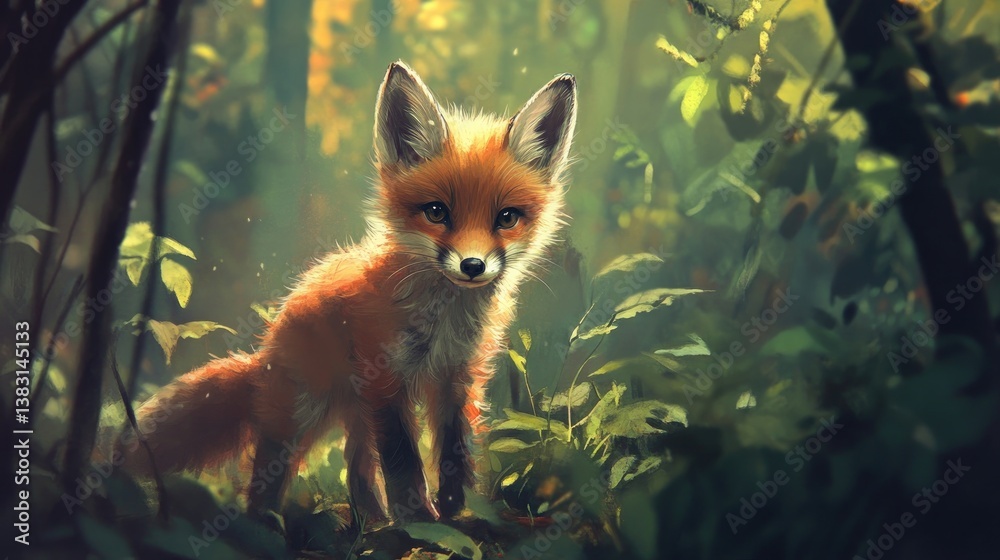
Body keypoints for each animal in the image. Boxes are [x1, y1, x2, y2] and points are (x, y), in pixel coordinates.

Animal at [119, 61, 578, 525]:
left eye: (506, 218)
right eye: (436, 212)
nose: (472, 266)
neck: (442, 322)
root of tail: (266, 348)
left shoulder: (458, 377)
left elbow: (454, 453)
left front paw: (454, 516)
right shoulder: (386, 379)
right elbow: (403, 462)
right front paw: (420, 522)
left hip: (355, 413)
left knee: (358, 470)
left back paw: (374, 525)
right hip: (300, 413)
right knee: (269, 474)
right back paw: (268, 525)